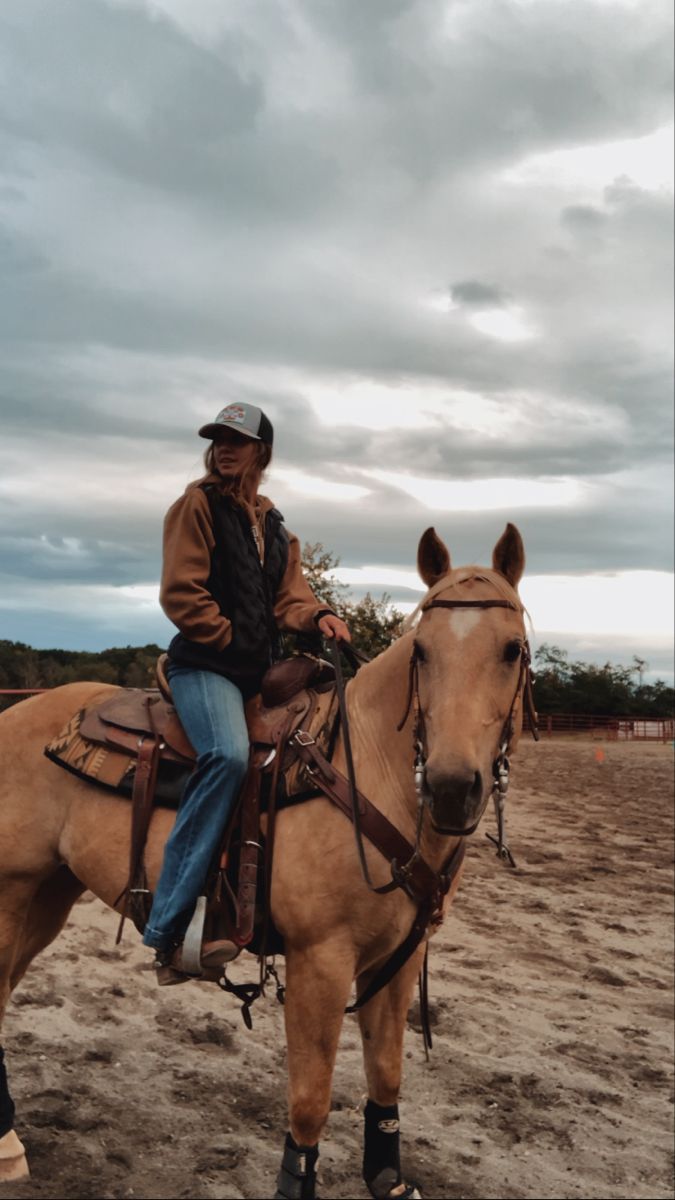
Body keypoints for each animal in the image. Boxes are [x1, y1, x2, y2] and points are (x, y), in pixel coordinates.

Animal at [0, 525, 528, 1200]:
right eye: (422, 653)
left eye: (513, 649)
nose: (452, 787)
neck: (366, 770)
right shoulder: (320, 960)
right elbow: (310, 1100)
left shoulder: (398, 960)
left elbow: (386, 1075)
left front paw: (387, 1177)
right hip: (14, 891)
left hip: (49, 894)